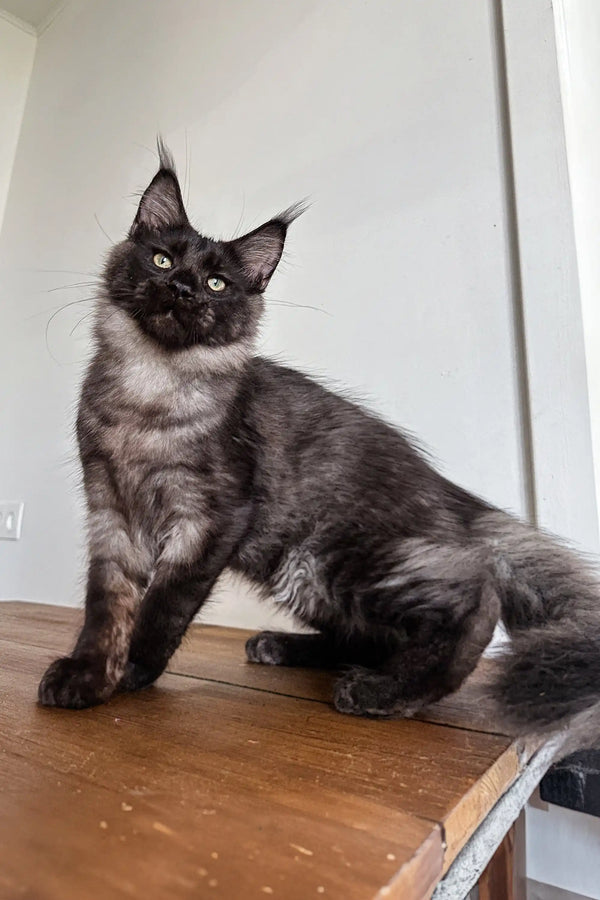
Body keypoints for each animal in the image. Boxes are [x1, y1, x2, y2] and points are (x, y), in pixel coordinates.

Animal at [38, 139, 600, 744]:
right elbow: (106, 608)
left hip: (334, 557)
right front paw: (88, 676)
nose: (182, 288)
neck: (150, 388)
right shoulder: (111, 511)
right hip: (306, 576)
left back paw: (385, 691)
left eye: (218, 283)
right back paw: (284, 647)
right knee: (372, 635)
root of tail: (447, 494)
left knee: (475, 598)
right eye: (162, 260)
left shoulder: (211, 518)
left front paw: (133, 671)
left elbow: (163, 605)